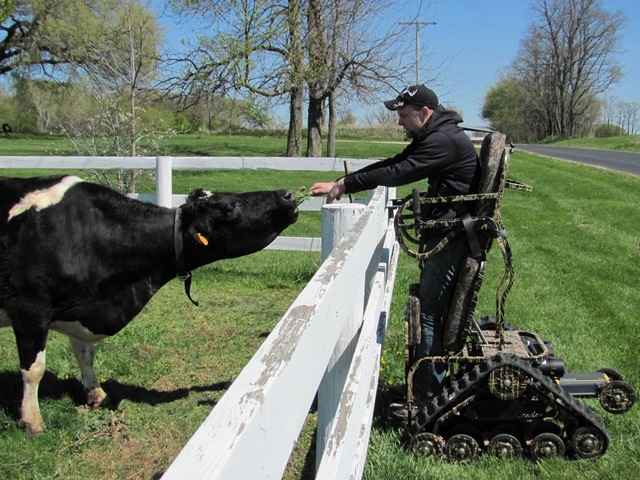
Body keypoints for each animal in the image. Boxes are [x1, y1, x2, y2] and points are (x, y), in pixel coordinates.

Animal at [0, 174, 298, 434]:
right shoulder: (30, 310)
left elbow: (85, 354)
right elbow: (33, 370)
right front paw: (32, 422)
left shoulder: (83, 312)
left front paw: (97, 394)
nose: (287, 194)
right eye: (230, 207)